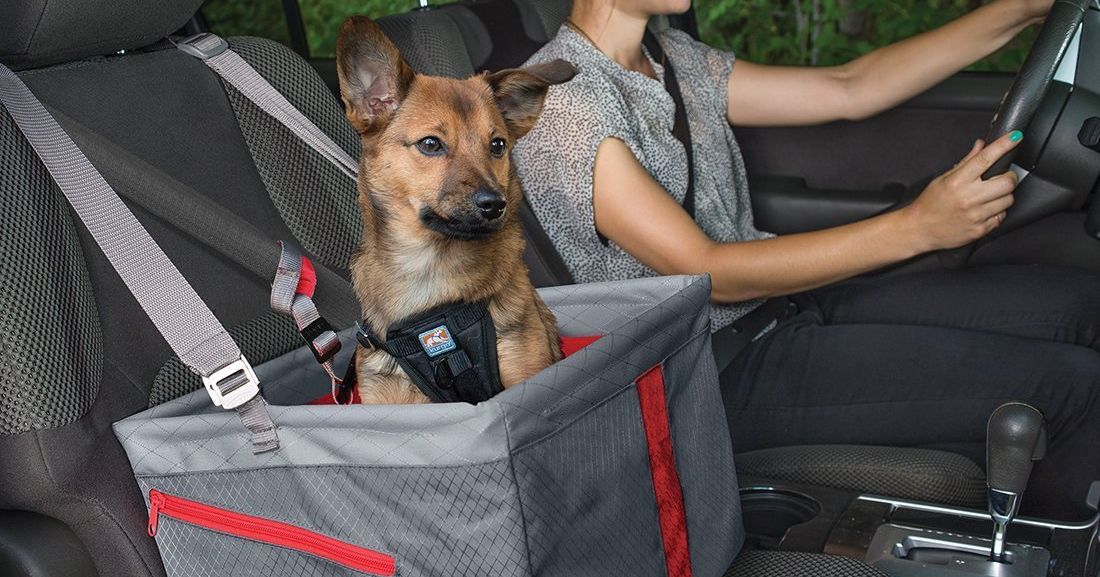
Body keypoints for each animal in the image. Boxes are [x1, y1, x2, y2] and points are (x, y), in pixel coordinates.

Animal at [334, 15, 576, 402]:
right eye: (431, 144)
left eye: (498, 145)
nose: (495, 204)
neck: (430, 269)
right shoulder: (389, 392)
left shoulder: (526, 374)